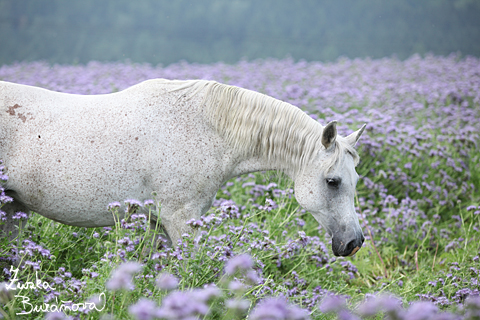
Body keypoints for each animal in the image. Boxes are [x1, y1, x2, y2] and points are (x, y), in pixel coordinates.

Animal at [0, 80, 366, 258]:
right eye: (333, 181)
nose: (354, 242)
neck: (207, 126)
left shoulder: (160, 223)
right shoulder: (181, 220)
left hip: (13, 210)